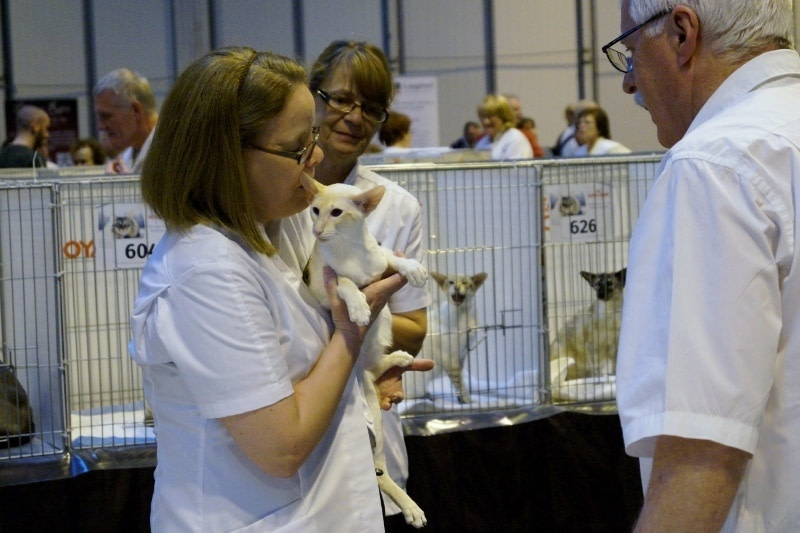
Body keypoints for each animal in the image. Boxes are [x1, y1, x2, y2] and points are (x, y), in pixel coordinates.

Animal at [300, 173, 429, 529]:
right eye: (315, 210)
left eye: (336, 213)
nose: (317, 231)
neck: (349, 248)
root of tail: (359, 370)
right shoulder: (321, 288)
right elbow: (343, 282)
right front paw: (358, 304)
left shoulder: (378, 261)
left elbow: (389, 257)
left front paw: (411, 267)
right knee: (379, 472)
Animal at [427, 271, 488, 404]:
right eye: (451, 282)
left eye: (464, 282)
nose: (456, 287)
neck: (463, 314)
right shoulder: (450, 358)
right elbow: (459, 381)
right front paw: (467, 400)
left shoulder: (461, 354)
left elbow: (458, 378)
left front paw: (461, 399)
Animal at [549, 268, 626, 401]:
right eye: (597, 285)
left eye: (609, 283)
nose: (600, 295)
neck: (611, 313)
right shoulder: (592, 346)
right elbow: (597, 369)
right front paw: (600, 381)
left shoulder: (615, 347)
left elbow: (615, 368)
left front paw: (613, 378)